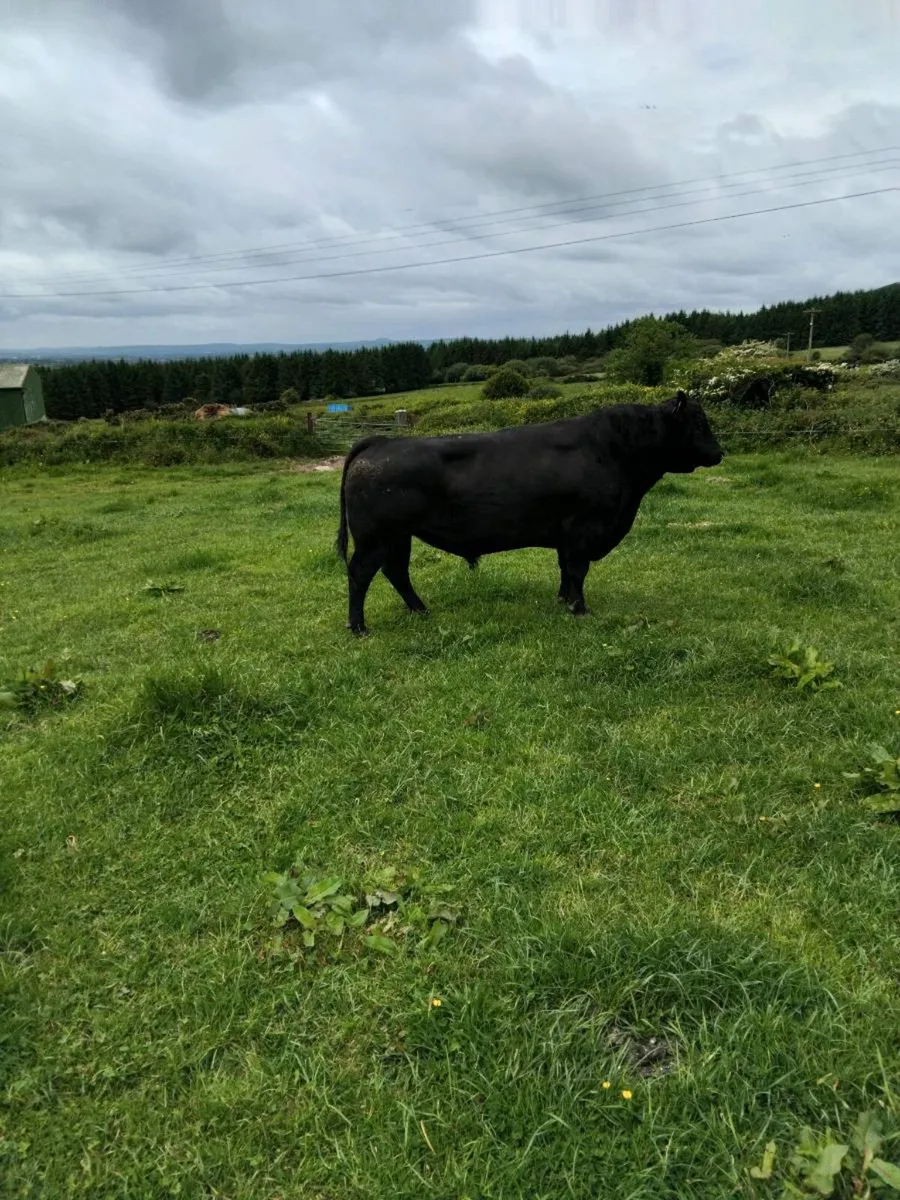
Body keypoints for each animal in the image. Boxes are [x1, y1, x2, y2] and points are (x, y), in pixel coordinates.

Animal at [335, 390, 723, 635]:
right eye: (698, 423)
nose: (720, 452)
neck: (612, 451)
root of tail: (382, 441)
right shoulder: (583, 529)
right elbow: (578, 570)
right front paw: (580, 609)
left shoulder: (565, 534)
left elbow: (565, 570)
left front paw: (563, 600)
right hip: (375, 538)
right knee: (360, 574)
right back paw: (359, 627)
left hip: (398, 537)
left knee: (396, 572)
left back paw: (420, 610)